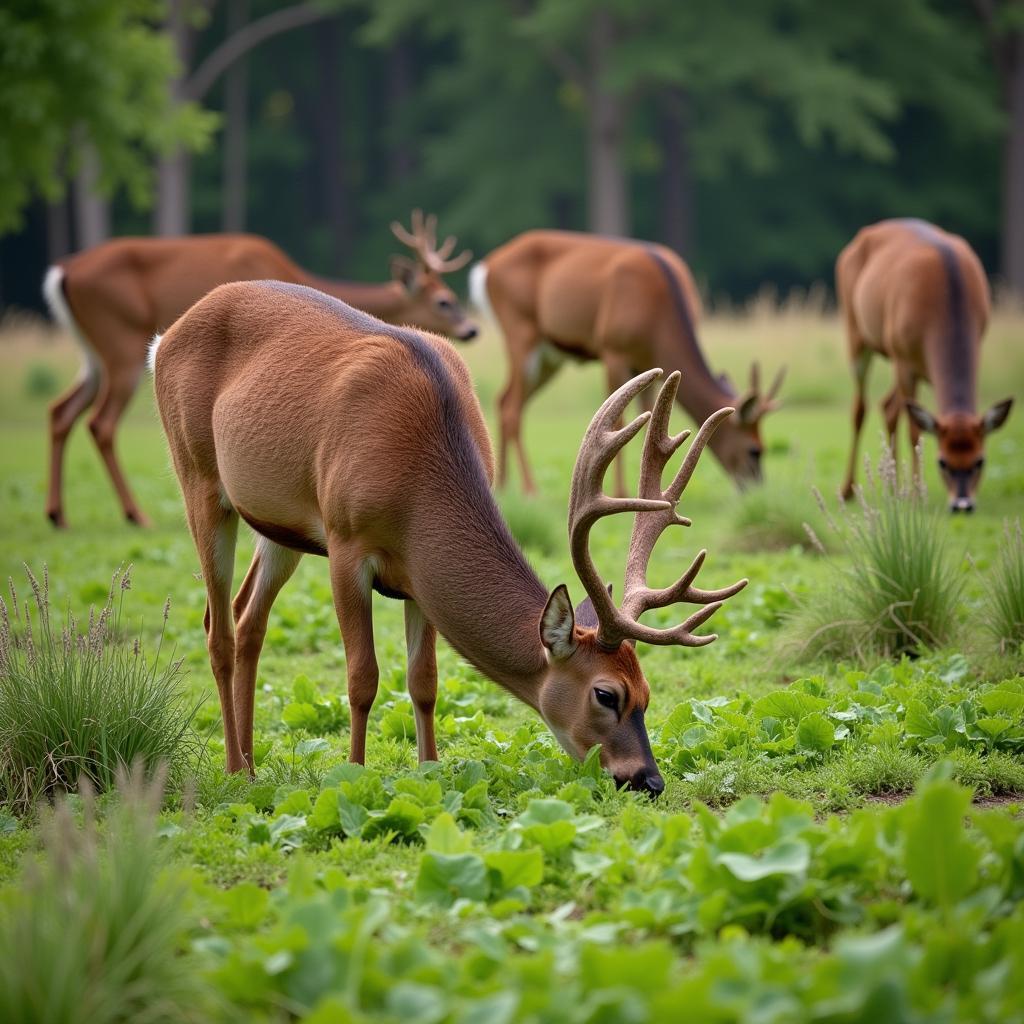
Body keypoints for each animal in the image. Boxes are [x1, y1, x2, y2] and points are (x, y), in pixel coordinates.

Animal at [38, 208, 471, 528]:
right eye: (445, 301)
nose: (472, 328)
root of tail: (64, 271)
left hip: (93, 352)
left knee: (61, 409)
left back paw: (57, 514)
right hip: (121, 341)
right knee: (101, 422)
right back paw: (135, 515)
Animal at [149, 280, 745, 790]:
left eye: (647, 693)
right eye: (606, 694)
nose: (647, 780)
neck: (417, 482)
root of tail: (163, 338)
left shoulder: (417, 575)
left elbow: (425, 682)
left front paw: (429, 771)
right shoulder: (345, 541)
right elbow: (363, 677)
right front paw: (355, 774)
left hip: (278, 524)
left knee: (249, 617)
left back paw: (252, 765)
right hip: (197, 476)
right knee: (217, 627)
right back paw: (232, 768)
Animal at [471, 230, 782, 493]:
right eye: (755, 449)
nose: (755, 489)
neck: (658, 317)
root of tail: (485, 268)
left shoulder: (648, 364)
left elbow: (652, 421)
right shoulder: (613, 349)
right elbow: (618, 421)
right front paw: (620, 491)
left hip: (550, 356)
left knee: (504, 400)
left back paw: (503, 485)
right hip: (519, 331)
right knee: (512, 406)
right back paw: (528, 489)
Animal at [835, 218, 1011, 509]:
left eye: (980, 460)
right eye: (942, 461)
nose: (962, 504)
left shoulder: (976, 341)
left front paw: (908, 488)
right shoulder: (903, 358)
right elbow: (915, 430)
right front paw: (917, 493)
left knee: (888, 406)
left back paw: (893, 486)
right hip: (857, 332)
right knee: (861, 408)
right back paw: (848, 488)